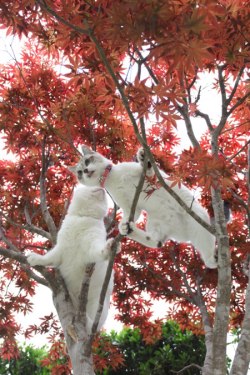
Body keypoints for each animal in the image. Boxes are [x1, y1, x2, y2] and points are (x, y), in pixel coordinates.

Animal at [26, 185, 114, 332]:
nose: (102, 187)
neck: (82, 217)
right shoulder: (60, 248)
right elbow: (48, 257)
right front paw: (35, 258)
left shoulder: (93, 243)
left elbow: (98, 250)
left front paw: (108, 248)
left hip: (99, 304)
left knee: (93, 325)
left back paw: (88, 321)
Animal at [70, 145, 217, 268]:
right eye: (79, 172)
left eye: (87, 161)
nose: (85, 171)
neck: (113, 179)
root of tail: (183, 233)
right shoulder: (128, 206)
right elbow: (131, 215)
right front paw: (124, 224)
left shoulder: (150, 179)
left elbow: (149, 172)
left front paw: (142, 157)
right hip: (155, 223)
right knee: (156, 242)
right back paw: (128, 229)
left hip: (197, 217)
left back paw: (212, 259)